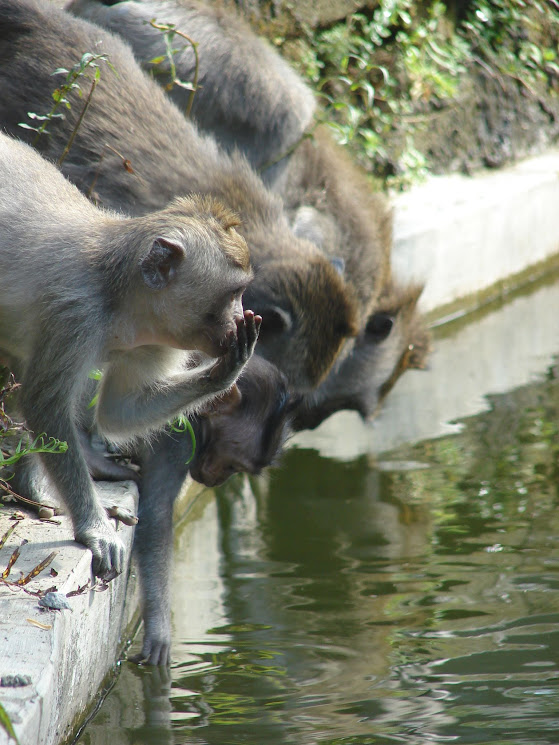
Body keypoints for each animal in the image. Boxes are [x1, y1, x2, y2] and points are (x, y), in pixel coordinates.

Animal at [0, 132, 260, 576]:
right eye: (233, 293)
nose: (238, 318)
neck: (120, 299)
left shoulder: (156, 338)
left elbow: (121, 410)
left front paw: (226, 370)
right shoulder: (75, 313)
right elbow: (46, 406)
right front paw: (94, 527)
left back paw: (30, 490)